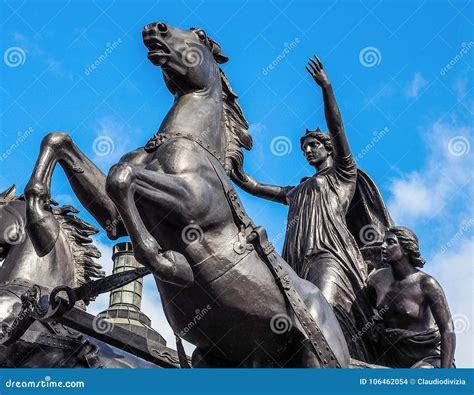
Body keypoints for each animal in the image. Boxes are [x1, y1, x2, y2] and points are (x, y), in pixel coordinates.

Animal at [25, 22, 352, 368]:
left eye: (201, 35)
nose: (155, 28)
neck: (183, 141)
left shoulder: (193, 204)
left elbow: (121, 176)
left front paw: (168, 262)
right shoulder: (117, 219)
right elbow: (61, 141)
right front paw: (41, 226)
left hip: (315, 355)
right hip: (215, 357)